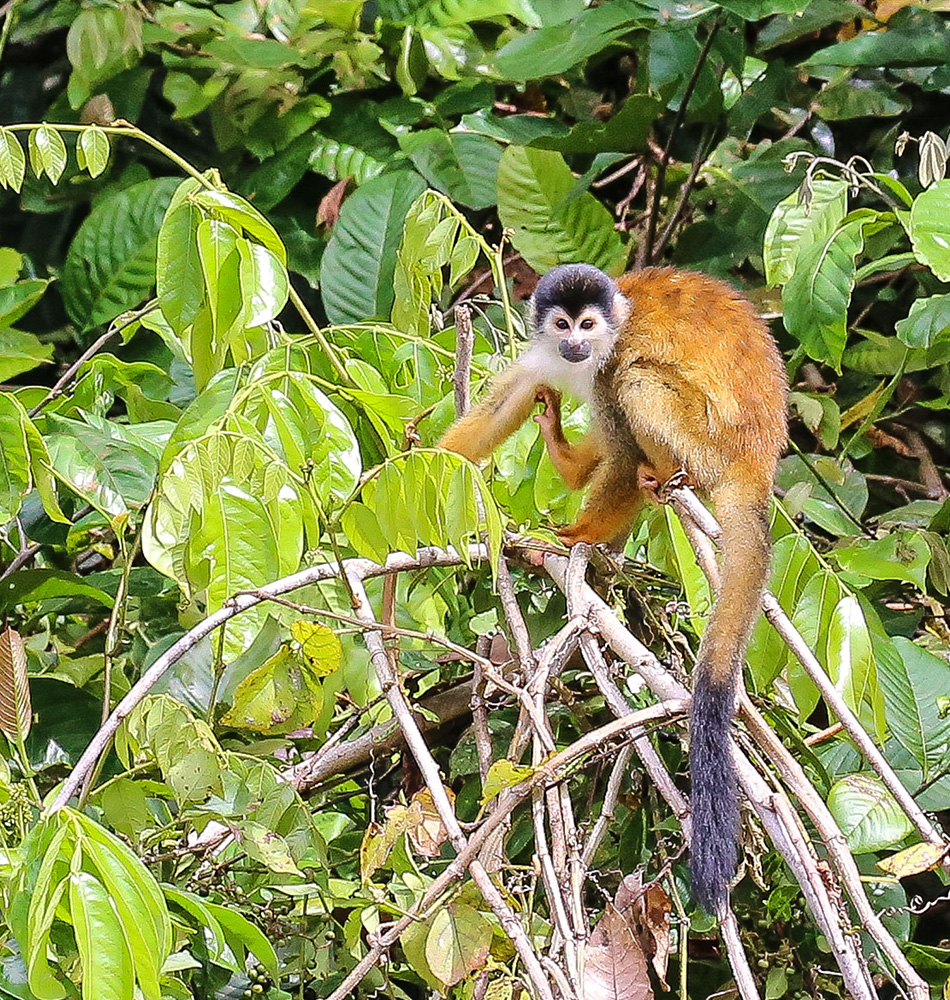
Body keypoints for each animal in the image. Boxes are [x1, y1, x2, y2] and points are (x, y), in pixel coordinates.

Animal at [438, 264, 788, 916]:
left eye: (589, 325)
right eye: (562, 325)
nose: (577, 343)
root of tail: (758, 462)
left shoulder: (608, 363)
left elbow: (622, 446)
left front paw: (570, 537)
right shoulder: (544, 356)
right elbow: (497, 412)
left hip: (709, 443)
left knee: (638, 383)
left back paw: (661, 477)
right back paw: (572, 459)